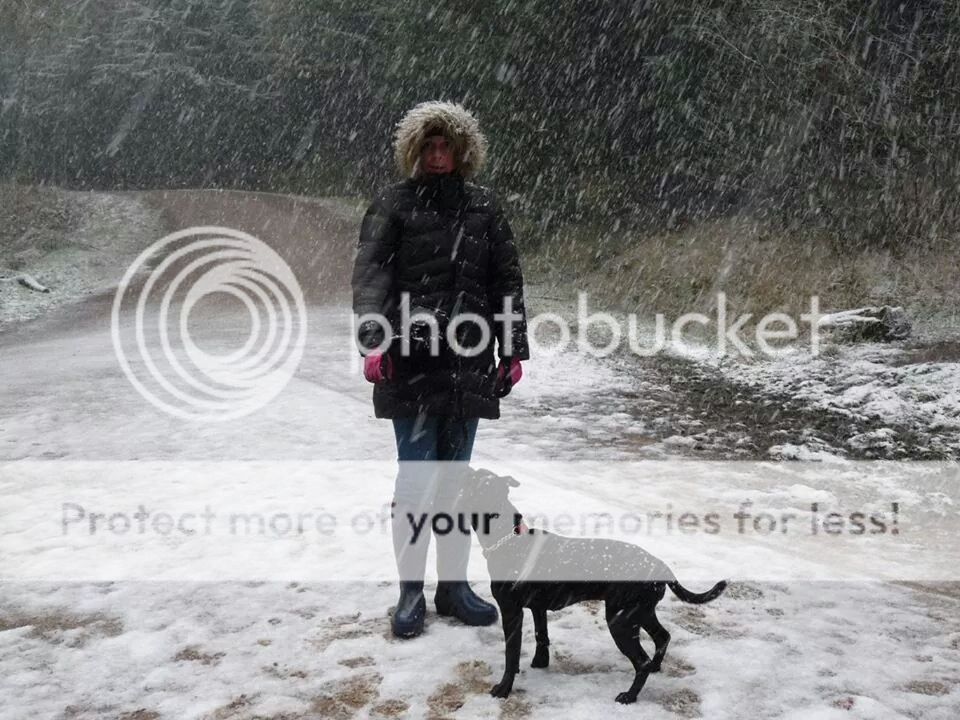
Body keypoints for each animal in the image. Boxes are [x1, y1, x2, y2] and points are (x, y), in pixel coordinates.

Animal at [460, 466, 728, 704]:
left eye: (473, 480)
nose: (463, 468)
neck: (508, 540)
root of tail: (662, 567)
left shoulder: (511, 611)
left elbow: (511, 653)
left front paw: (504, 688)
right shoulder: (537, 608)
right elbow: (541, 635)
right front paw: (540, 663)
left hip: (620, 620)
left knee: (641, 661)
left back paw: (630, 696)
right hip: (640, 612)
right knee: (663, 637)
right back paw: (655, 667)